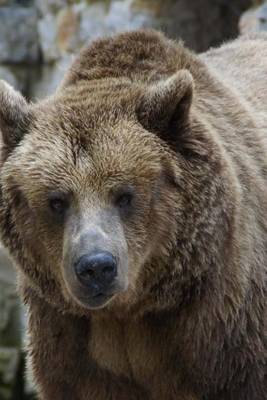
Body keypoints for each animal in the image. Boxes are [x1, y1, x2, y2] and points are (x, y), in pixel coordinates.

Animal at [0, 29, 267, 398]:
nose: (96, 267)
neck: (132, 309)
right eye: (57, 200)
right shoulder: (73, 342)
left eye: (124, 195)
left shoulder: (224, 328)